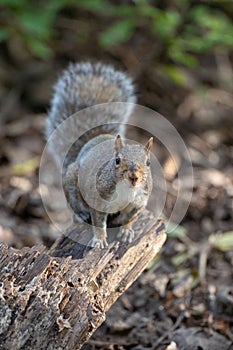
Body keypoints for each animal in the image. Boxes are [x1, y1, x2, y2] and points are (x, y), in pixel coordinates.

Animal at [45, 62, 153, 249]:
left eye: (148, 163)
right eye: (117, 160)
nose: (134, 177)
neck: (127, 190)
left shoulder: (139, 202)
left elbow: (130, 218)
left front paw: (126, 231)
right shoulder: (98, 199)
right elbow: (98, 221)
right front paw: (100, 239)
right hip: (72, 179)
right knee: (74, 204)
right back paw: (80, 214)